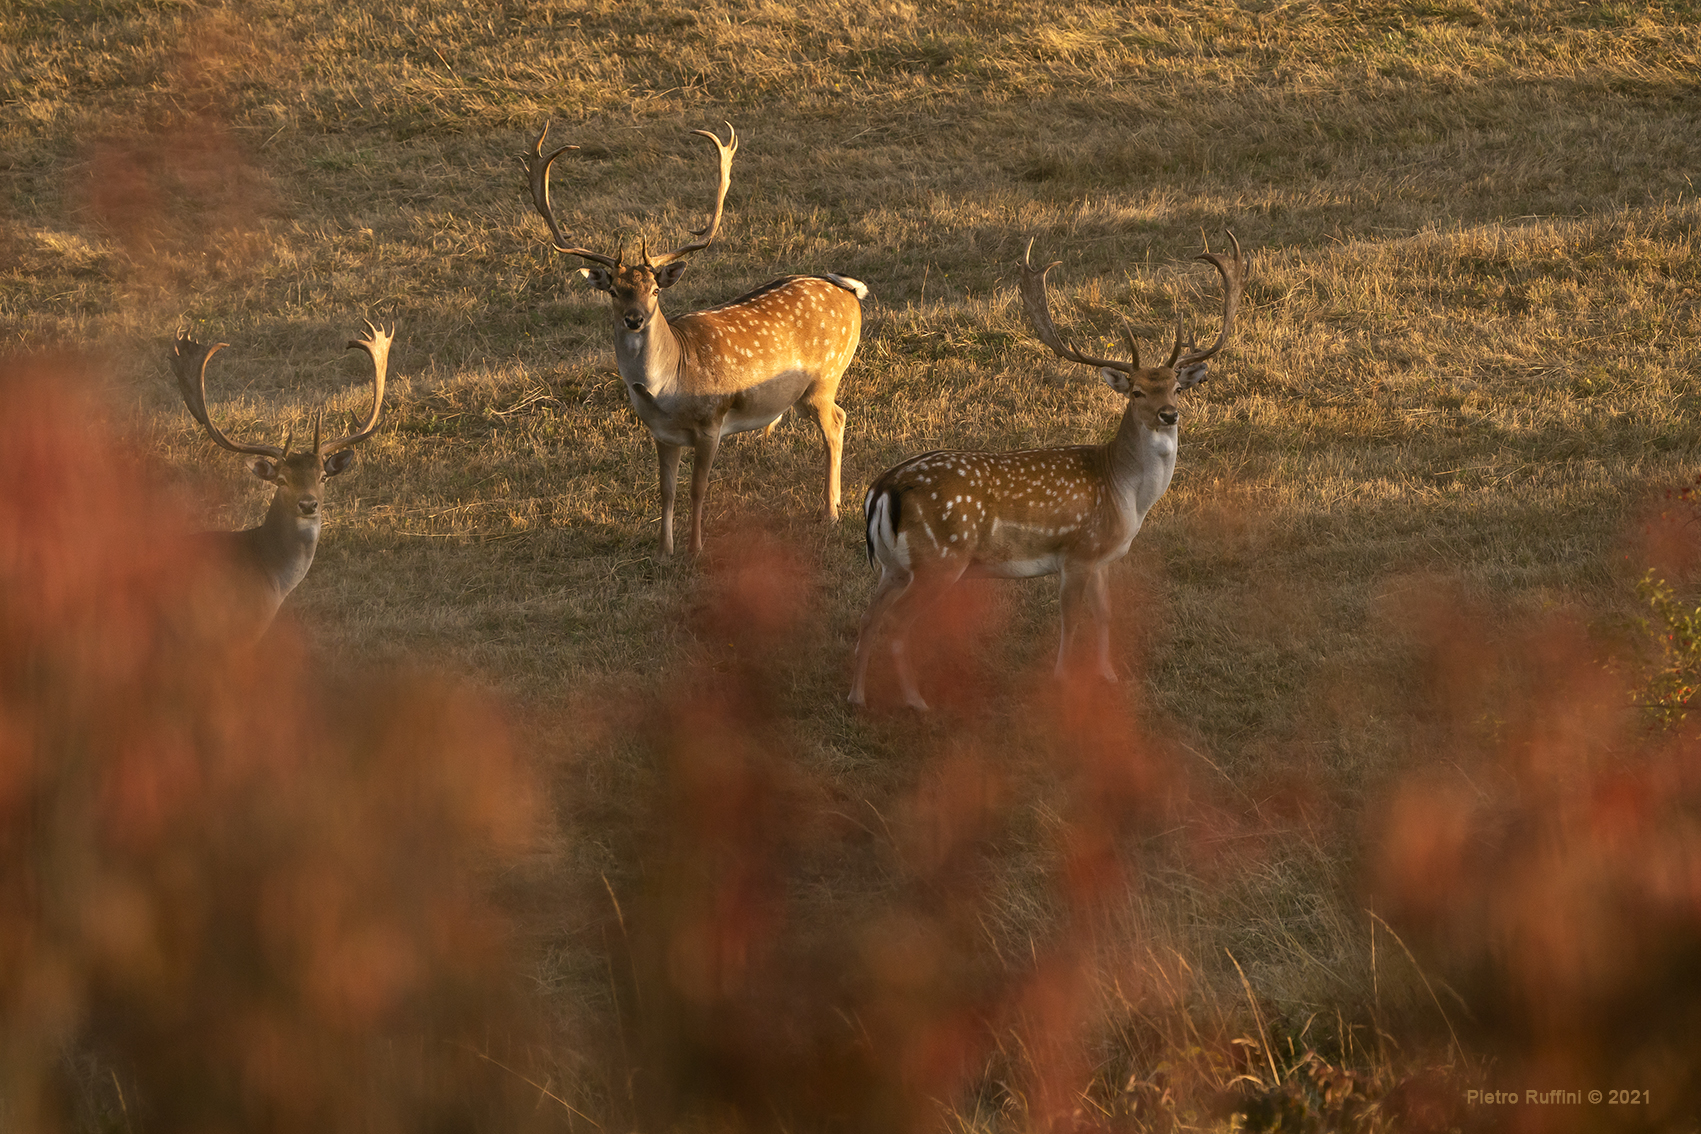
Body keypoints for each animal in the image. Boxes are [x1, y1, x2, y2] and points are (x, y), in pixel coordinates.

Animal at [524, 122, 868, 556]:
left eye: (656, 290)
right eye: (614, 291)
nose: (635, 319)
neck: (668, 388)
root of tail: (849, 289)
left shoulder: (711, 422)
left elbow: (698, 490)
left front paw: (695, 549)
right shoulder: (660, 434)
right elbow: (666, 491)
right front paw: (663, 551)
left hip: (824, 378)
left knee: (836, 423)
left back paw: (831, 512)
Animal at [848, 234, 1245, 711]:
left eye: (1176, 386)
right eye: (1136, 391)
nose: (1169, 414)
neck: (1125, 494)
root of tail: (882, 489)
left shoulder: (1101, 557)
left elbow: (1105, 614)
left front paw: (1108, 675)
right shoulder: (1077, 550)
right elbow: (1070, 619)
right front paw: (1062, 680)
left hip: (894, 567)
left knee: (868, 618)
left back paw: (857, 696)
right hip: (940, 560)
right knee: (896, 624)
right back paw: (916, 701)